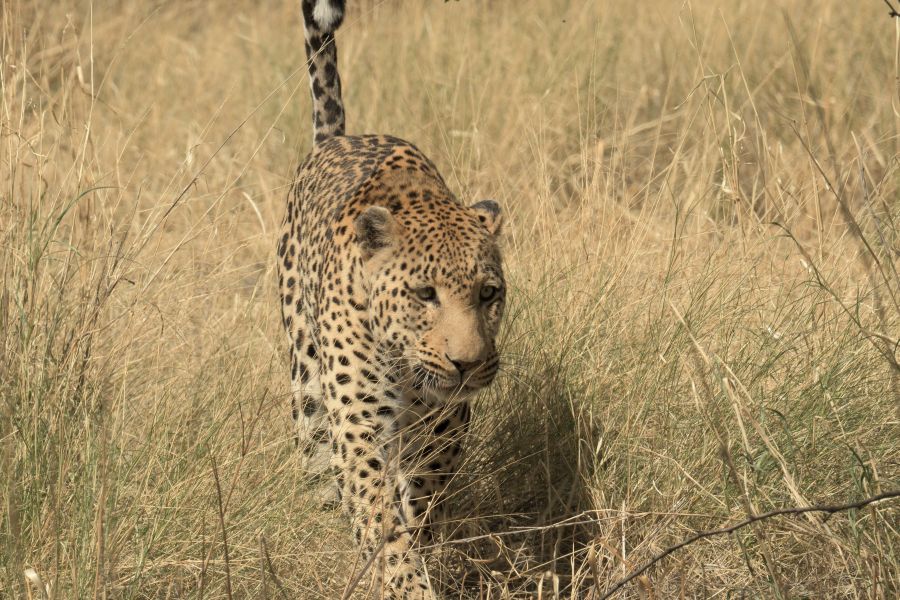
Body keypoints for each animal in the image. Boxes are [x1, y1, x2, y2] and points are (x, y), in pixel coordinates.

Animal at [276, 1, 506, 598]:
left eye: (489, 294)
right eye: (425, 294)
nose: (467, 363)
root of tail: (335, 139)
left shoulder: (445, 422)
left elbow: (423, 498)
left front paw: (421, 539)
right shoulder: (359, 421)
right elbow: (378, 514)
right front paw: (403, 579)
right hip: (307, 385)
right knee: (320, 462)